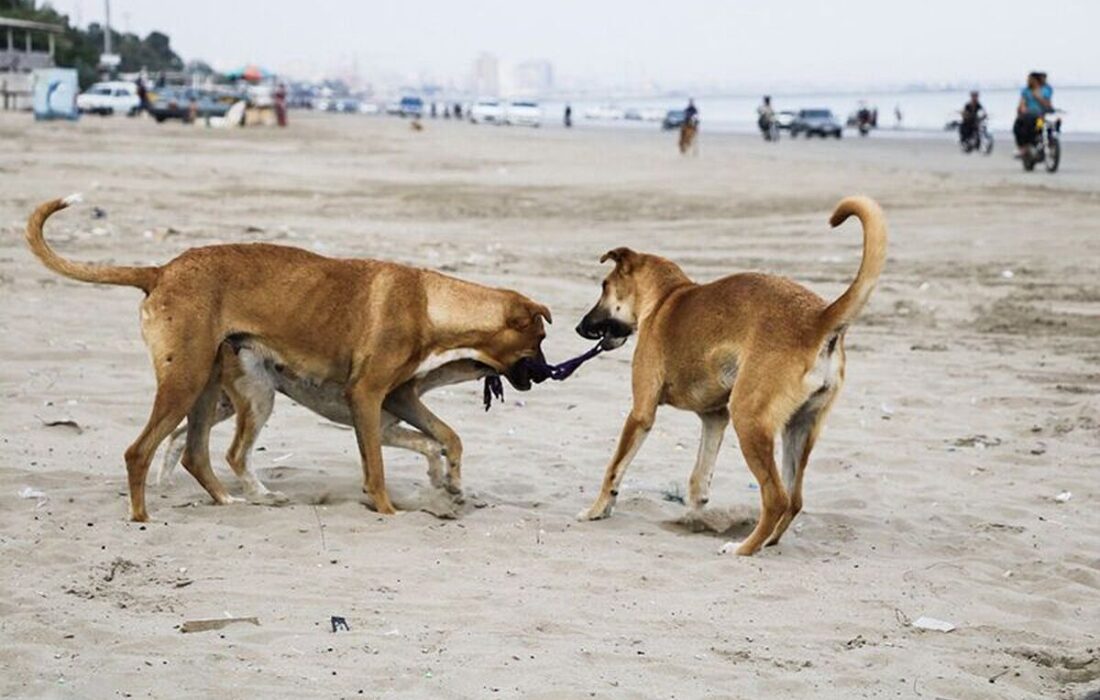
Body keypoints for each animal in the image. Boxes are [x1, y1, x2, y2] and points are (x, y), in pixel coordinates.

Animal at [27, 195, 550, 519]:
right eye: (541, 339)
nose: (548, 375)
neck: (430, 302)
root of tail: (161, 270)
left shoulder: (399, 398)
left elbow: (446, 437)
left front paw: (451, 483)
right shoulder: (367, 399)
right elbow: (379, 466)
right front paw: (387, 508)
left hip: (211, 388)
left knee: (194, 451)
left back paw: (230, 500)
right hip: (196, 382)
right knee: (148, 450)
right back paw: (143, 514)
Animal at [572, 198, 888, 556]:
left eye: (604, 287)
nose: (579, 327)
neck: (667, 296)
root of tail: (819, 319)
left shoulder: (641, 413)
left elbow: (614, 469)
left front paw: (596, 510)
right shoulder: (714, 418)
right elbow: (698, 481)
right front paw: (692, 517)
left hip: (749, 419)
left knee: (776, 498)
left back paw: (743, 548)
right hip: (799, 428)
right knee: (794, 499)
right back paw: (767, 541)